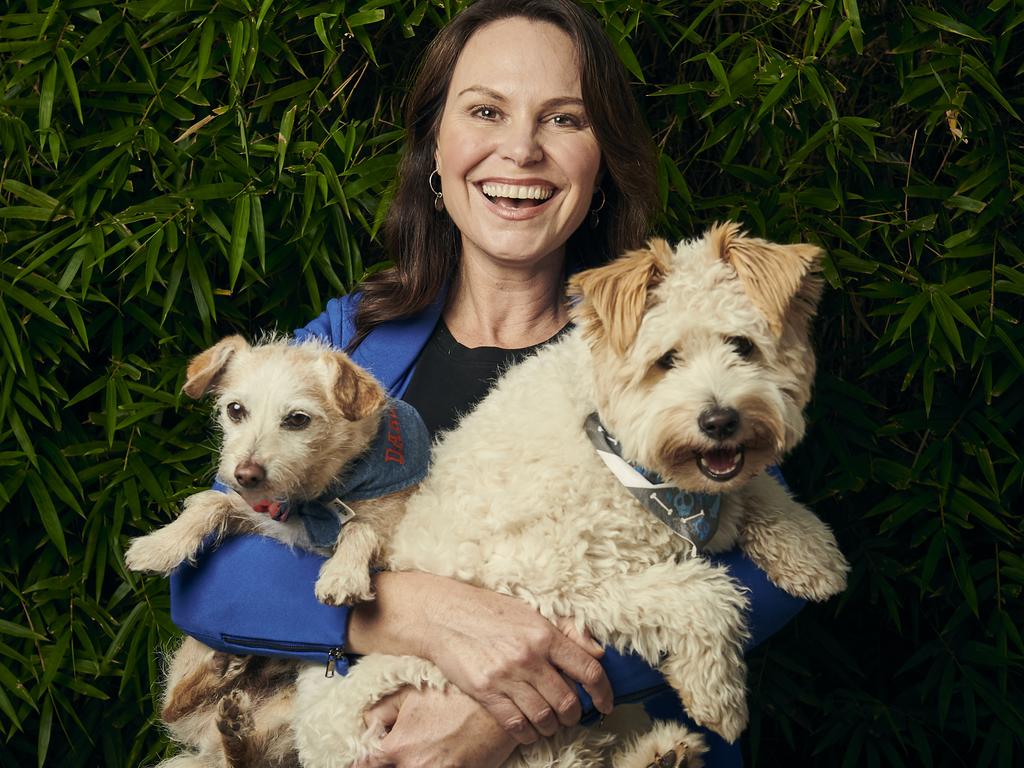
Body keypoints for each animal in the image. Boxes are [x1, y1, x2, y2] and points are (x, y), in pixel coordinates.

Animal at [126, 337, 423, 768]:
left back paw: (233, 716)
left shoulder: (387, 530)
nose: (246, 474)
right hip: (194, 653)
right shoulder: (262, 517)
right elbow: (212, 503)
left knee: (247, 757)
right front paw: (159, 545)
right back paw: (223, 671)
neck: (313, 498)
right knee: (173, 707)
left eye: (297, 419)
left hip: (287, 716)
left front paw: (342, 574)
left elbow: (360, 527)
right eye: (235, 410)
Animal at [294, 225, 847, 768]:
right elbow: (701, 591)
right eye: (666, 360)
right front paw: (719, 697)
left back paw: (663, 753)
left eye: (742, 345)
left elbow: (757, 490)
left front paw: (811, 553)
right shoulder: (544, 586)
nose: (720, 421)